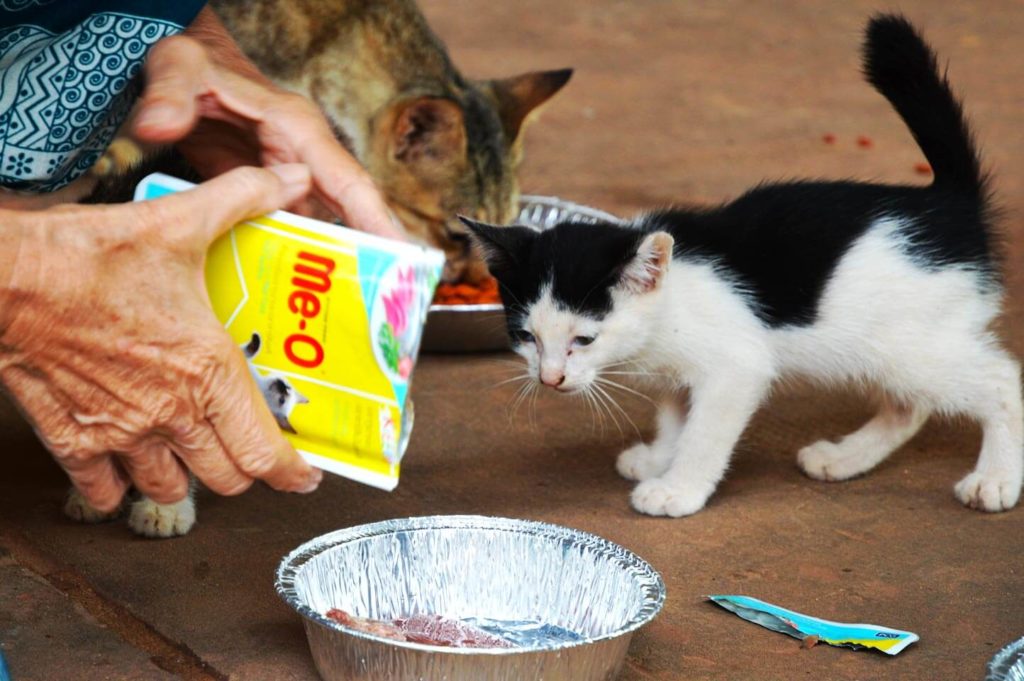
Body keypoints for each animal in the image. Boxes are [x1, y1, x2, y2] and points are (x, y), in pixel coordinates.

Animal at [466, 15, 1024, 516]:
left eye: (583, 339)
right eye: (526, 337)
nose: (550, 378)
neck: (669, 303)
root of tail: (948, 204)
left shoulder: (735, 367)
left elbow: (704, 433)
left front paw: (677, 489)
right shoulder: (680, 372)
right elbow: (676, 417)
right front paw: (659, 458)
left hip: (910, 347)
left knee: (1001, 380)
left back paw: (995, 480)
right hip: (889, 350)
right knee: (912, 404)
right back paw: (844, 458)